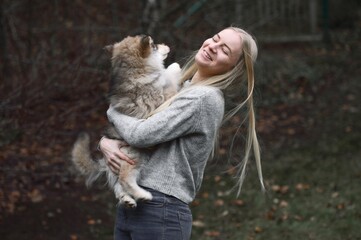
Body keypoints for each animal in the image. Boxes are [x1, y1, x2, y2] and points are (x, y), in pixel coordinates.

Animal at [71, 34, 180, 207]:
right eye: (155, 45)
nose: (167, 45)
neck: (135, 71)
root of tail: (105, 162)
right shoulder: (164, 99)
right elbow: (170, 75)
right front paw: (173, 67)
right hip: (133, 156)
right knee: (124, 179)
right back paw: (142, 195)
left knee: (118, 186)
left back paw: (127, 199)